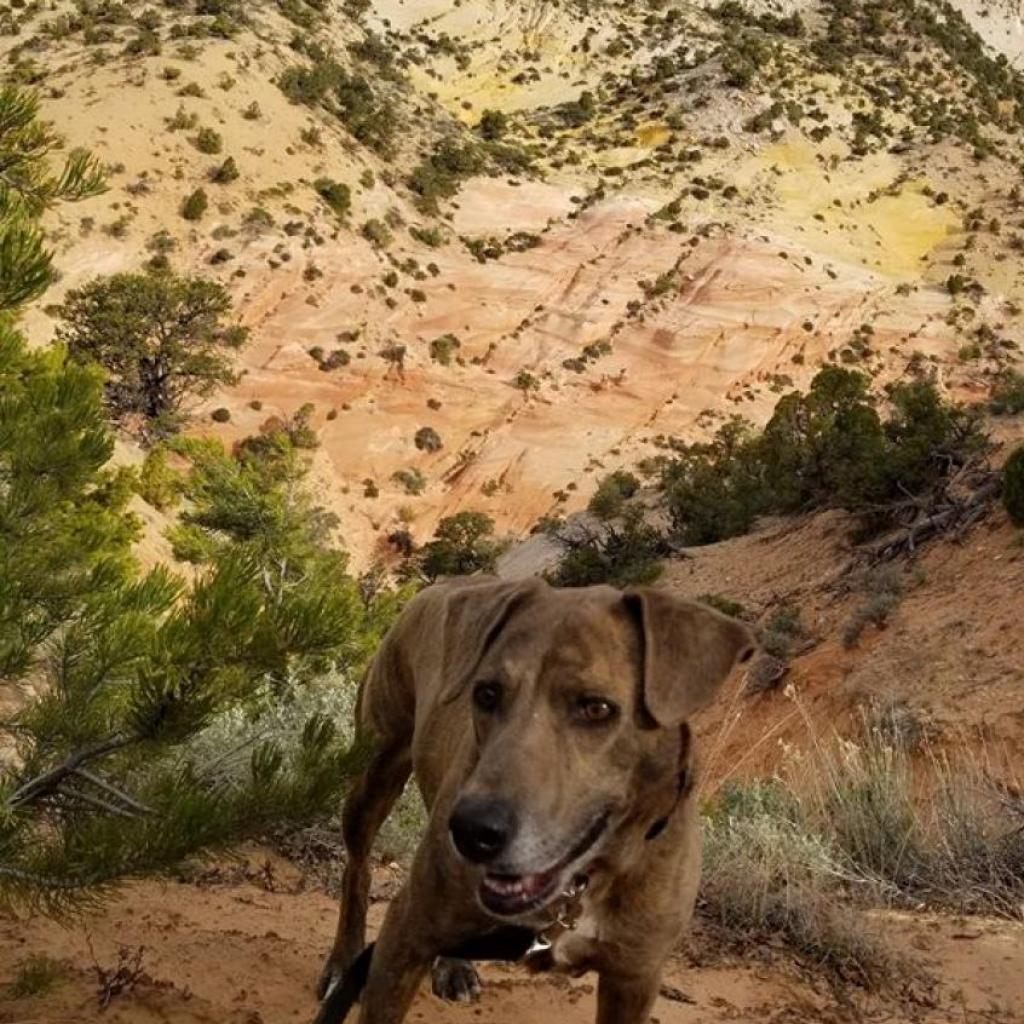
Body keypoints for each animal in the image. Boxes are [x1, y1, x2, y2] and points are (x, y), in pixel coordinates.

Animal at [315, 577, 757, 1024]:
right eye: (486, 693)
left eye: (597, 708)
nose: (472, 830)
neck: (580, 887)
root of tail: (439, 585)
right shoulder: (407, 931)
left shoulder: (634, 978)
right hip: (374, 773)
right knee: (357, 868)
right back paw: (343, 963)